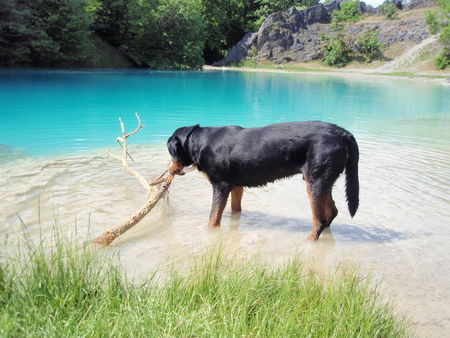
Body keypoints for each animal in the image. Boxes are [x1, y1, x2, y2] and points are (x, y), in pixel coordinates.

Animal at [166, 121, 358, 240]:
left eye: (171, 152)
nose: (169, 170)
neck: (199, 142)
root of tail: (342, 133)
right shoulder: (236, 187)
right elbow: (235, 211)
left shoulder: (220, 186)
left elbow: (213, 219)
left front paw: (208, 233)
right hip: (323, 180)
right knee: (332, 211)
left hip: (315, 182)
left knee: (319, 220)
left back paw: (309, 240)